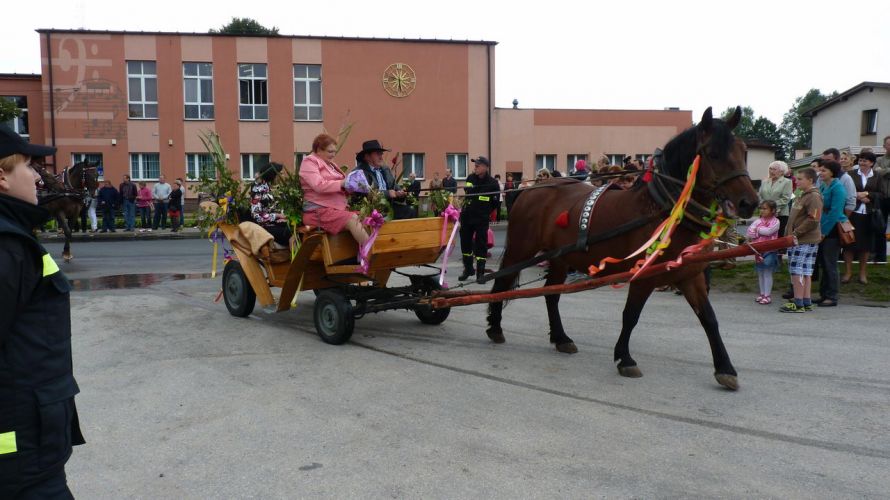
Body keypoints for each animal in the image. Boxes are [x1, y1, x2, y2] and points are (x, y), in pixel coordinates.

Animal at [486, 107, 756, 390]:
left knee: (551, 294)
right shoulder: (643, 275)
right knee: (501, 284)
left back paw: (561, 337)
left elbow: (709, 319)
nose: (749, 202)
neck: (665, 210)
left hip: (560, 258)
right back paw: (495, 327)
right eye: (713, 153)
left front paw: (725, 368)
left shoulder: (690, 275)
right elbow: (631, 314)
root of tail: (531, 189)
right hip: (521, 248)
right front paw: (625, 358)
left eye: (742, 150)